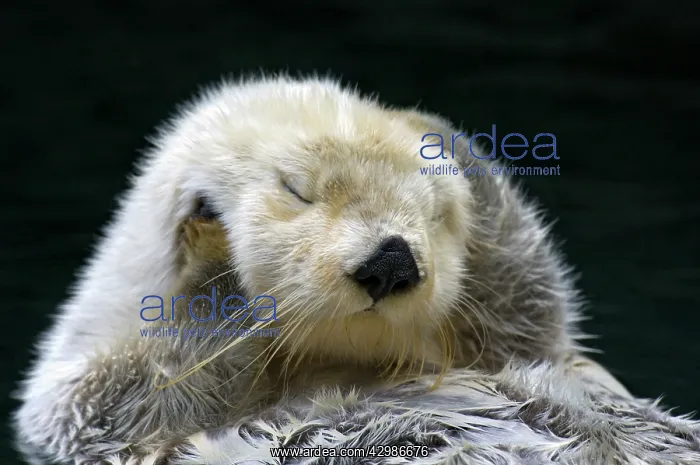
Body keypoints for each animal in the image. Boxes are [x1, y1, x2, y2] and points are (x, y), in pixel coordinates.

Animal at [13, 75, 629, 464]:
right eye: (296, 190)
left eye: (436, 214)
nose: (391, 261)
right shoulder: (82, 414)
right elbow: (127, 397)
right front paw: (210, 243)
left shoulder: (535, 348)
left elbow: (532, 314)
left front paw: (435, 134)